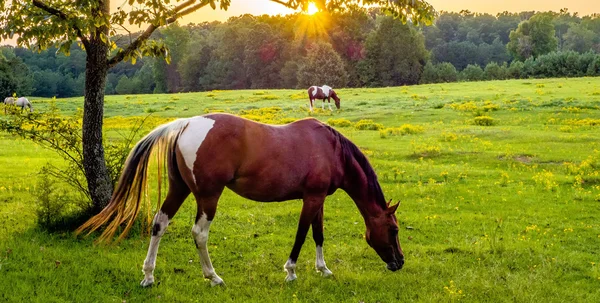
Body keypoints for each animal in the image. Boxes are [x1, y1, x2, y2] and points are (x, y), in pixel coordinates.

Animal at [76, 113, 404, 288]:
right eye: (394, 229)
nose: (399, 262)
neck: (330, 149)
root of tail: (186, 124)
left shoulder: (318, 198)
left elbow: (318, 234)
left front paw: (322, 268)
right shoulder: (311, 199)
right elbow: (301, 234)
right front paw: (291, 271)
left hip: (179, 189)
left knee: (159, 224)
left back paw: (148, 275)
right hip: (208, 196)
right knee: (199, 234)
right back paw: (213, 277)